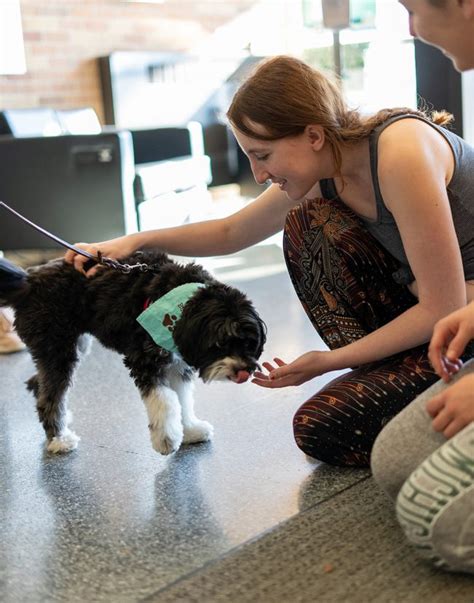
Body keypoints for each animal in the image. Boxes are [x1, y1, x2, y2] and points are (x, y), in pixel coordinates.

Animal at [0, 252, 266, 456]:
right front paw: (166, 438)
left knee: (39, 383)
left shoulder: (178, 363)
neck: (181, 305)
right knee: (49, 397)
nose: (244, 370)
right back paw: (59, 439)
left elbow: (183, 398)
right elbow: (167, 399)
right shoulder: (144, 359)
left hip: (71, 345)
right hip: (57, 347)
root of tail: (29, 279)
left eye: (249, 343)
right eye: (220, 343)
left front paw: (190, 429)